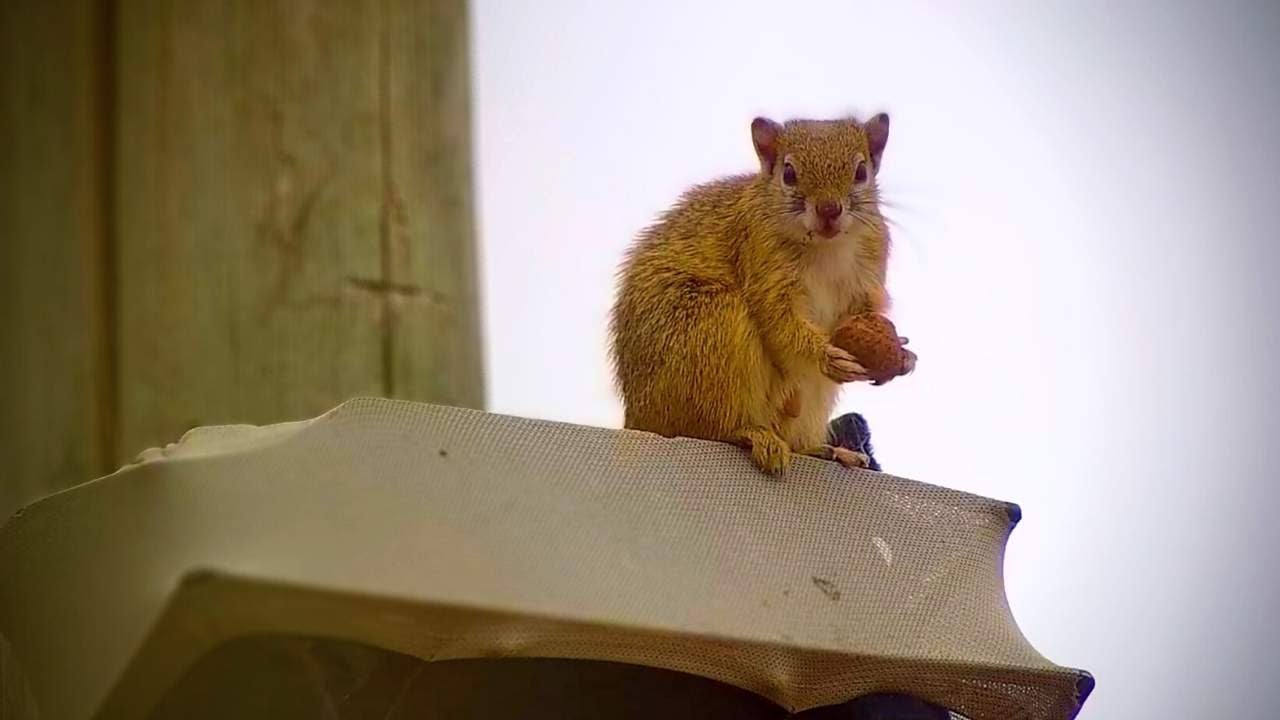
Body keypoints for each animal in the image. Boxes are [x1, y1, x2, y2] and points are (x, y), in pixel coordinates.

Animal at [609, 113, 903, 476]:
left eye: (861, 171)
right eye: (788, 173)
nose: (829, 210)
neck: (827, 248)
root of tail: (638, 417)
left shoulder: (868, 274)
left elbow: (859, 316)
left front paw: (902, 354)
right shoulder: (760, 258)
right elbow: (779, 325)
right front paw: (827, 357)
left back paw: (826, 450)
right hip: (711, 328)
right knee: (712, 427)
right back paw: (750, 433)